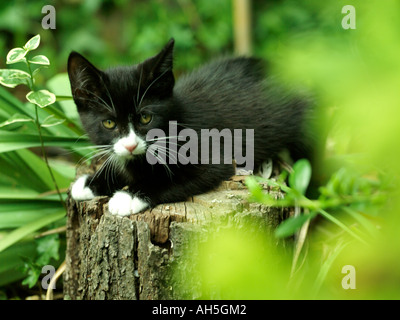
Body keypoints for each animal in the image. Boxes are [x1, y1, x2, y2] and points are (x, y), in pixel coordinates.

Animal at [68, 38, 312, 216]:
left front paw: (128, 197)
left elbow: (176, 178)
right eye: (109, 123)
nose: (130, 145)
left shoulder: (213, 157)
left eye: (146, 118)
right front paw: (89, 183)